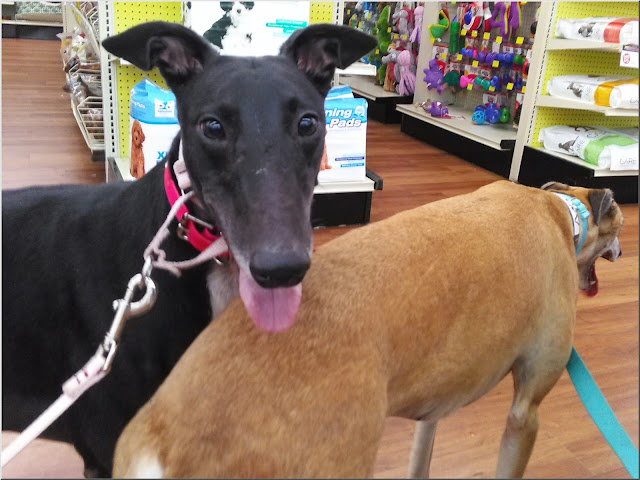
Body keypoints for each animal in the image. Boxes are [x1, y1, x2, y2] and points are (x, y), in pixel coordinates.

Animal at [112, 182, 624, 478]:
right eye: (618, 226)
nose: (622, 251)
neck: (558, 208)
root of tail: (166, 440)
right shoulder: (524, 415)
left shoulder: (435, 407)